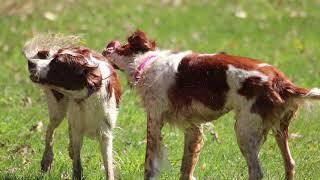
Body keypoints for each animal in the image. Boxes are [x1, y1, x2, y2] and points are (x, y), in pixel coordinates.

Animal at [22, 34, 120, 179]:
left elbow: (108, 167)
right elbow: (77, 162)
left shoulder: (105, 133)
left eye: (57, 64)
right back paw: (47, 159)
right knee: (50, 130)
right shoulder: (78, 128)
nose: (31, 62)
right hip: (58, 110)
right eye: (52, 59)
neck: (87, 98)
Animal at [103, 30, 320, 179]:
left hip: (244, 131)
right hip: (277, 130)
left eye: (121, 44)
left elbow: (149, 165)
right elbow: (186, 168)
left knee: (257, 171)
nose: (106, 46)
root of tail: (280, 81)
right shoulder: (193, 129)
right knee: (290, 164)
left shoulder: (155, 122)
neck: (147, 63)